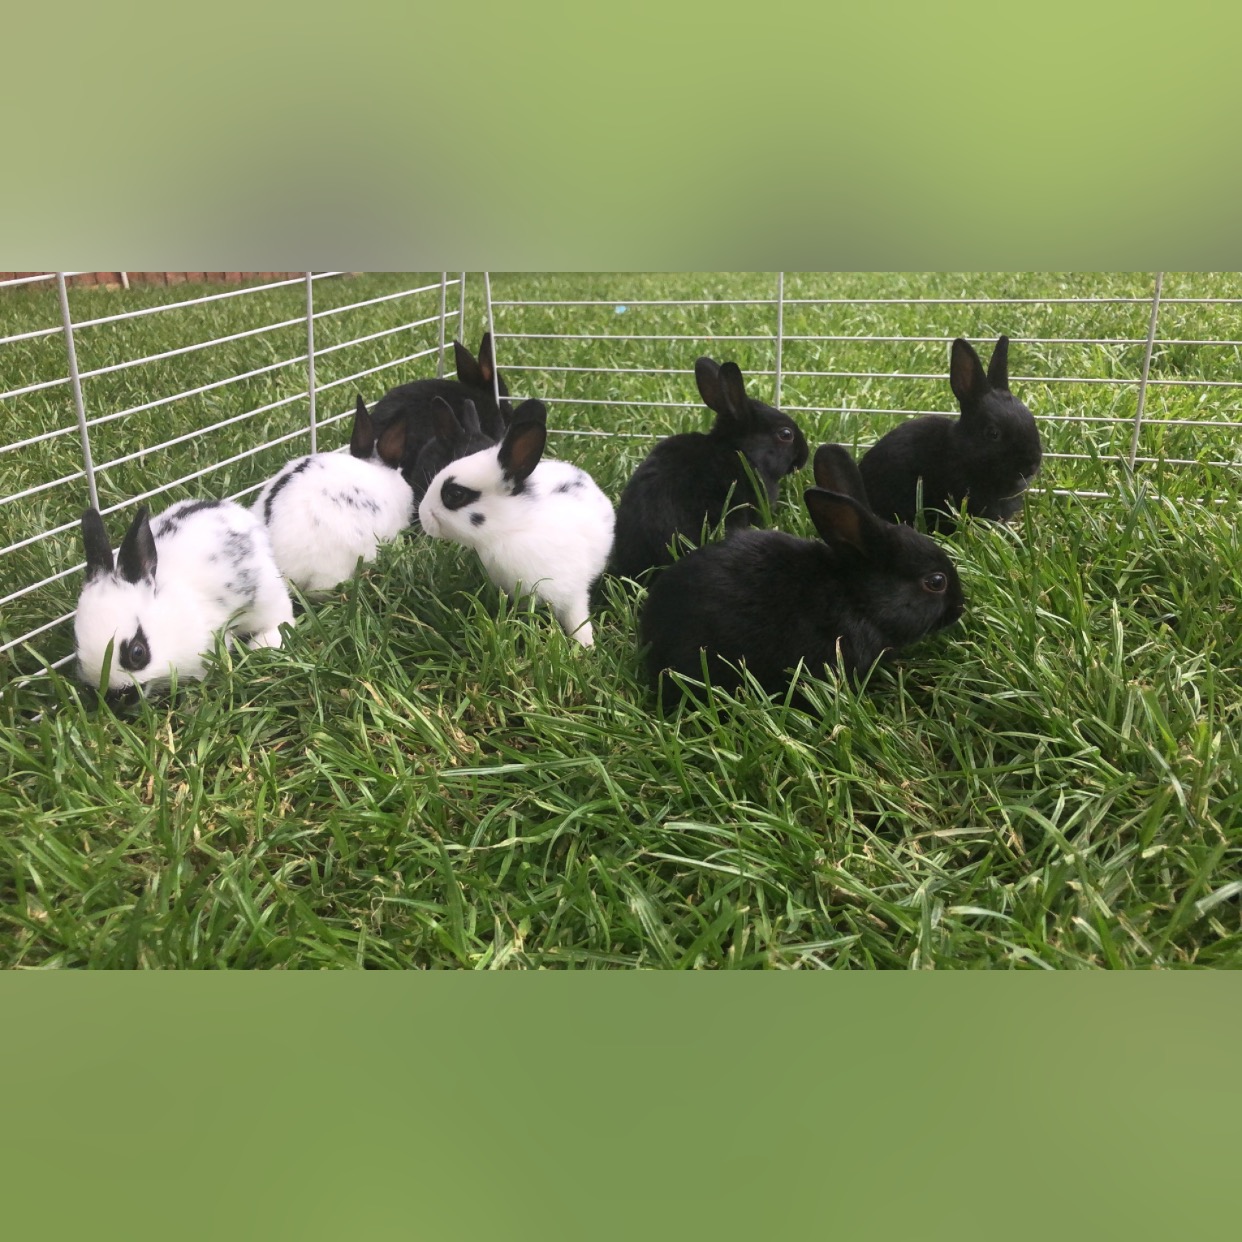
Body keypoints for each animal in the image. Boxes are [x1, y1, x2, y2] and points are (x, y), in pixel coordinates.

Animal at [417, 399, 615, 647]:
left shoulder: (573, 593)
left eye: (455, 494)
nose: (422, 515)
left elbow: (577, 619)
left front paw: (585, 647)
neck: (514, 528)